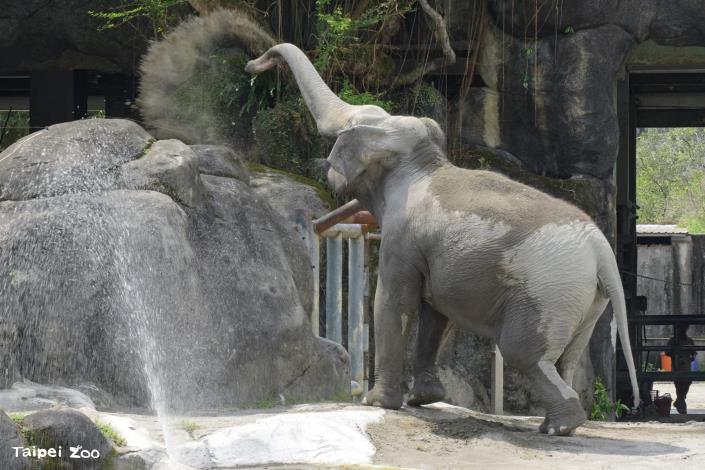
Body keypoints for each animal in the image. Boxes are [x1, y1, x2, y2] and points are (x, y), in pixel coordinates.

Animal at [247, 43, 640, 435]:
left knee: (523, 353)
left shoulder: (401, 238)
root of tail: (602, 253)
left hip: (548, 292)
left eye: (348, 129)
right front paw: (424, 399)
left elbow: (394, 302)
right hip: (586, 301)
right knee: (566, 359)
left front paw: (377, 403)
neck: (422, 162)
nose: (255, 64)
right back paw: (552, 424)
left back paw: (560, 427)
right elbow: (435, 312)